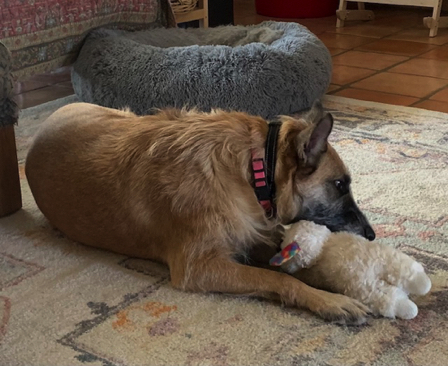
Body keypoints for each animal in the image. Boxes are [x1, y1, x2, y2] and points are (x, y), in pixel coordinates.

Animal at [24, 100, 374, 324]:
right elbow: (278, 278)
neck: (255, 168)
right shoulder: (200, 267)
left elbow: (297, 269)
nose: (371, 236)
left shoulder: (252, 236)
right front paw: (329, 301)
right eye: (340, 184)